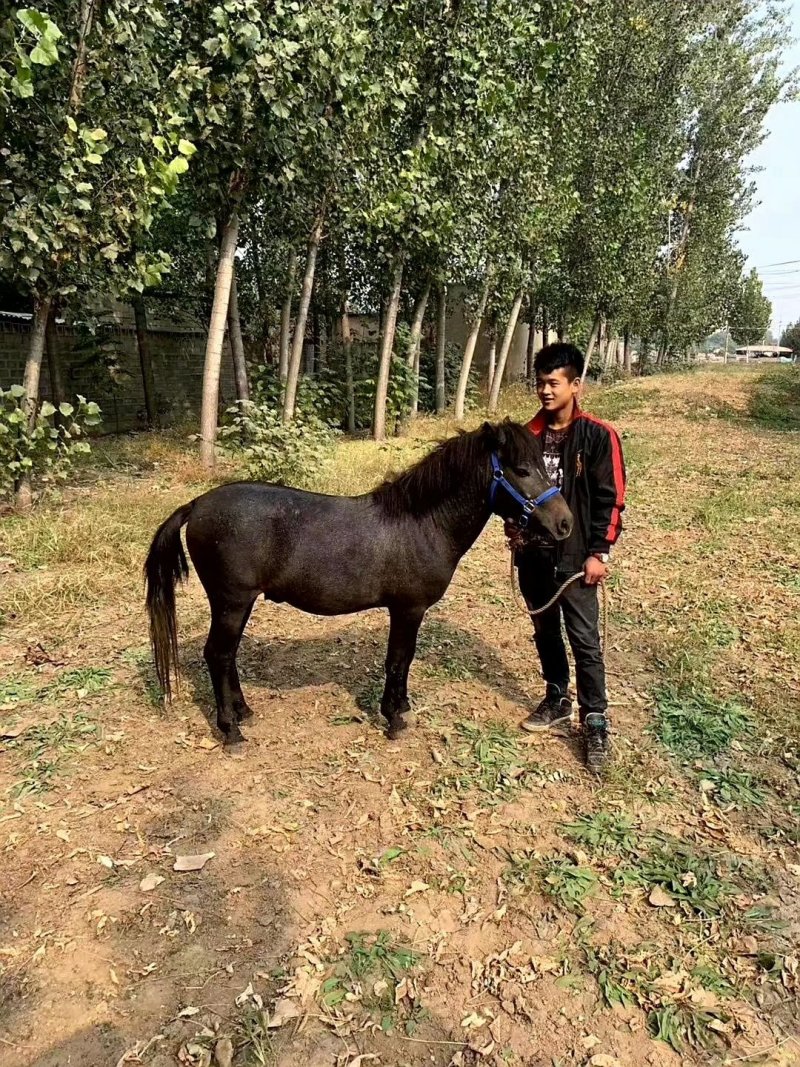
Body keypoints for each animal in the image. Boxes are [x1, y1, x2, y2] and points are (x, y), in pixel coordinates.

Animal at [144, 419, 573, 745]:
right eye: (522, 470)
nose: (564, 523)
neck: (422, 523)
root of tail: (196, 505)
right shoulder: (407, 609)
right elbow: (399, 660)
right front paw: (394, 718)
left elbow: (401, 661)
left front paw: (400, 707)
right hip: (231, 603)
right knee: (218, 655)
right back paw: (231, 730)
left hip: (238, 605)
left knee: (228, 656)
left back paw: (244, 712)